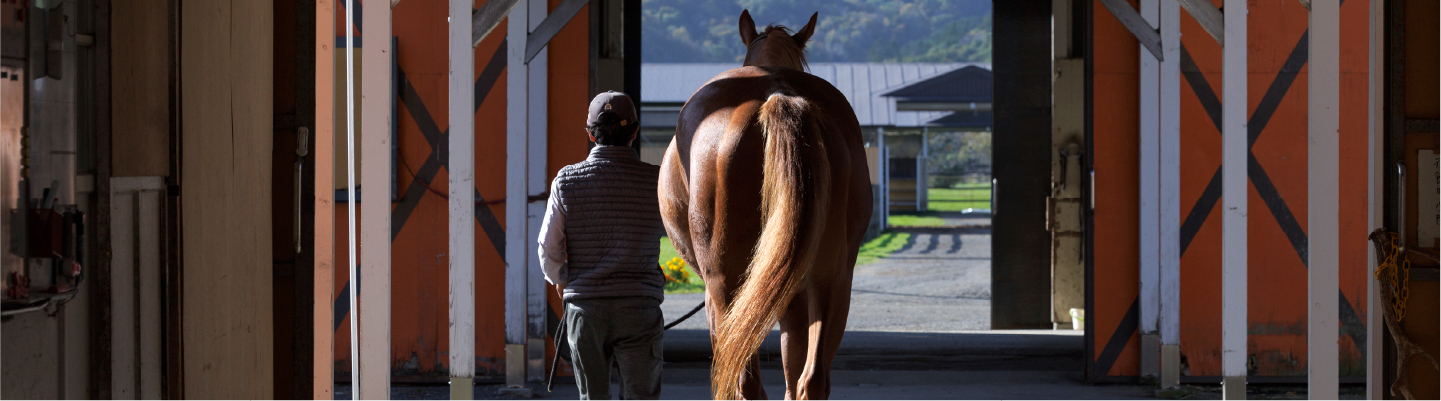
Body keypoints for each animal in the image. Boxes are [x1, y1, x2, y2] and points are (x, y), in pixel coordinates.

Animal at [659, 9, 870, 398]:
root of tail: (778, 96)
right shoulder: (794, 296)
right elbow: (793, 362)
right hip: (832, 279)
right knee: (812, 380)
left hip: (725, 285)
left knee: (747, 382)